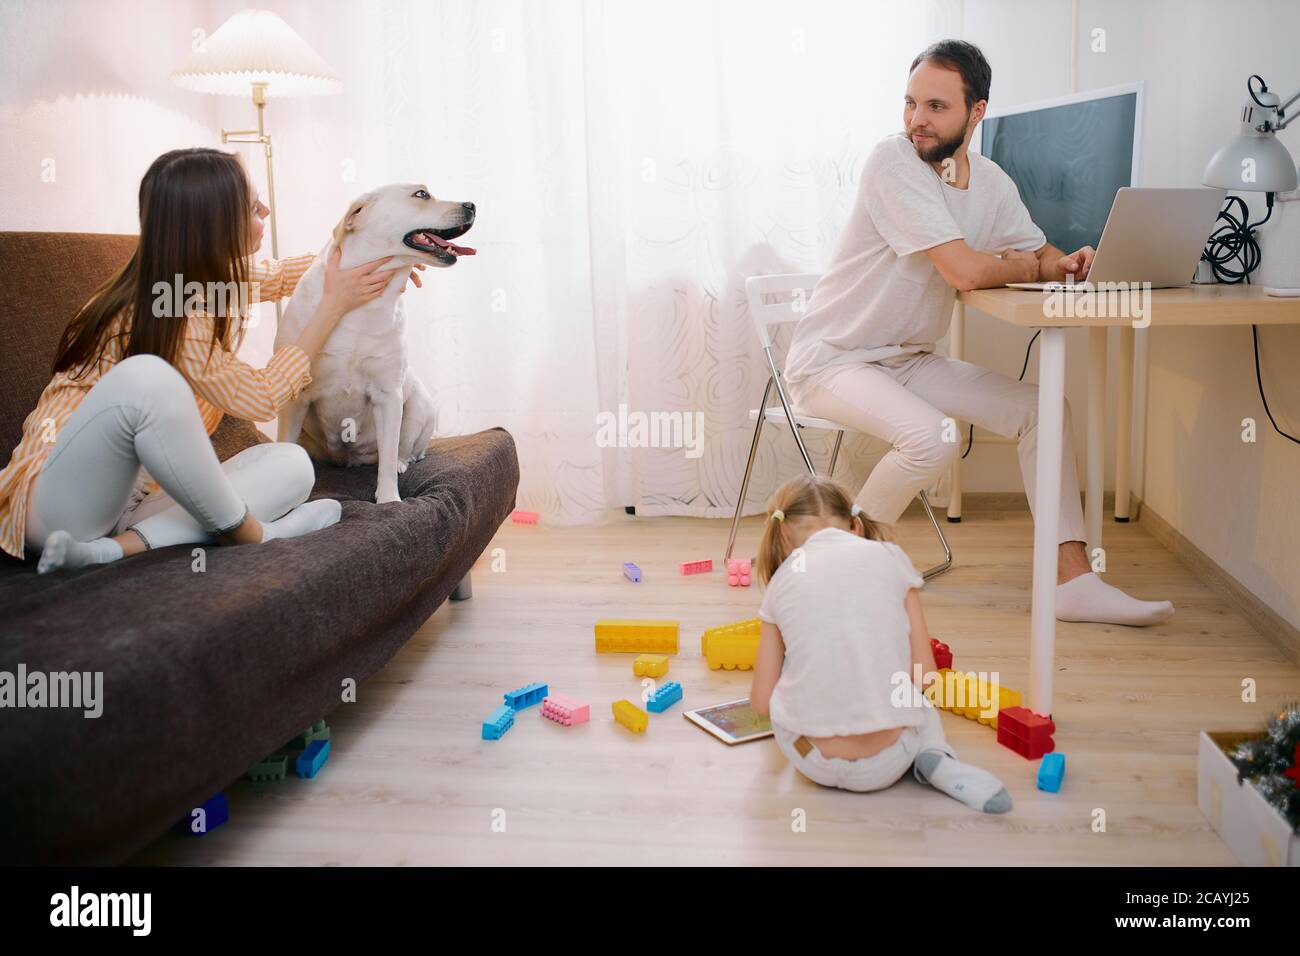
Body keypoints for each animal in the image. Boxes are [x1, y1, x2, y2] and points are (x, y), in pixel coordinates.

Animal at [274, 182, 478, 504]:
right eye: (421, 194)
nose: (471, 205)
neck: (360, 306)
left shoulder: (388, 394)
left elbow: (388, 454)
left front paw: (389, 499)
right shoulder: (296, 396)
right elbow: (286, 444)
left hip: (419, 405)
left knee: (403, 450)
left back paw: (401, 462)